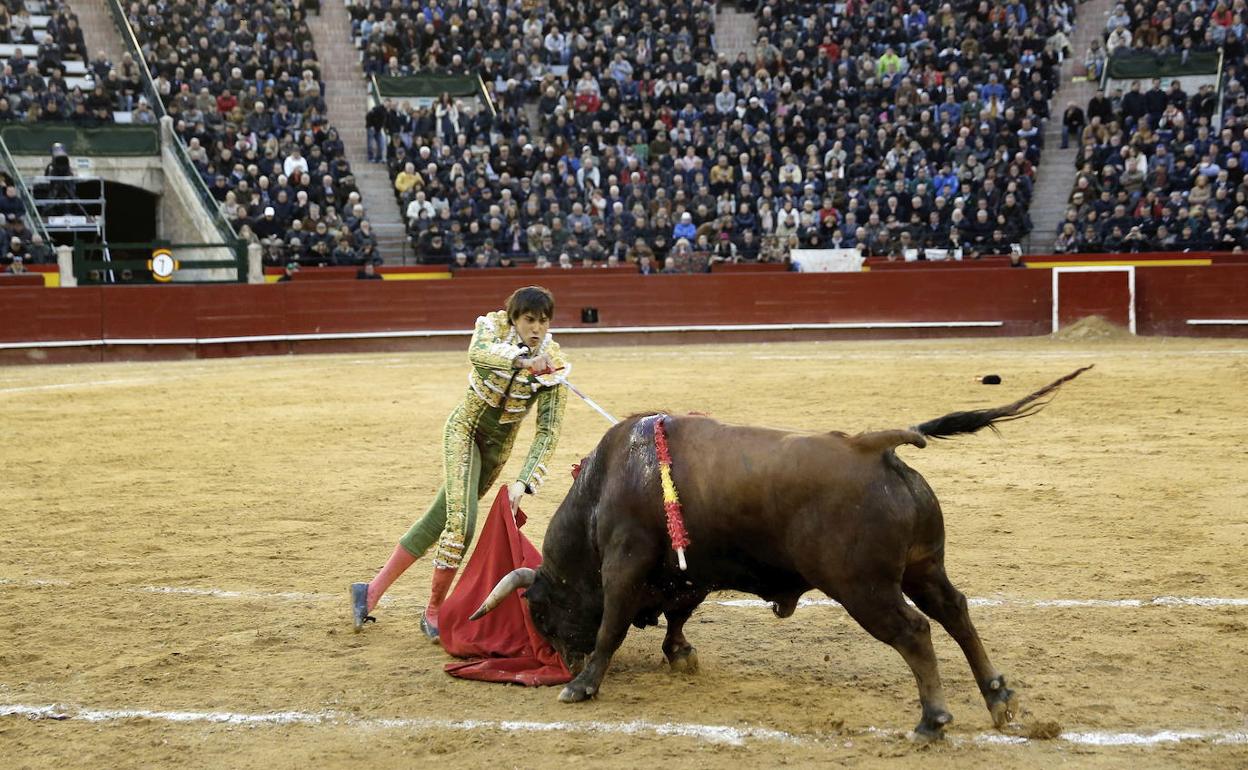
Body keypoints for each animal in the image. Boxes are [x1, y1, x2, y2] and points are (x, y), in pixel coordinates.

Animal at [471, 366, 1088, 738]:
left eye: (539, 612)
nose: (563, 663)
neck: (605, 484)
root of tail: (874, 447)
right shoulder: (691, 570)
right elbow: (678, 614)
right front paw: (679, 655)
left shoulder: (626, 560)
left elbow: (613, 625)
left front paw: (584, 685)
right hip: (923, 568)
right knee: (956, 612)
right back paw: (998, 698)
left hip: (862, 587)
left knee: (915, 631)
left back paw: (933, 720)